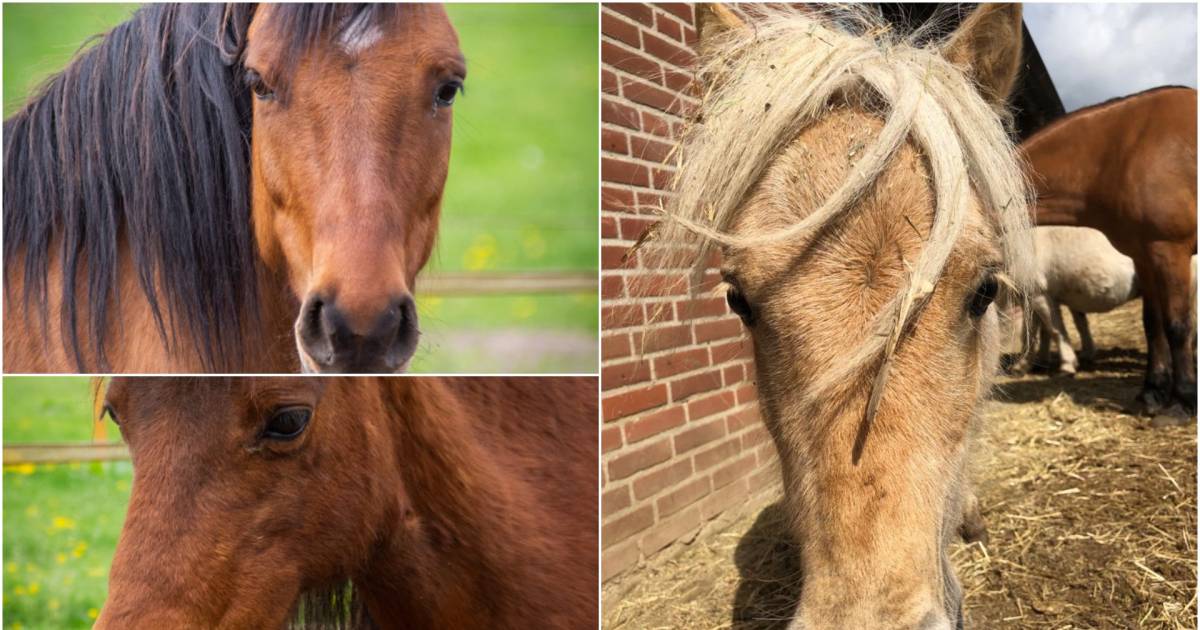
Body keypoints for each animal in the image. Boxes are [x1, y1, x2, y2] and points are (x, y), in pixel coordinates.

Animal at [1020, 86, 1198, 416]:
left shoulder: (1170, 250)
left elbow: (1178, 326)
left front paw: (1182, 401)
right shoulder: (1144, 256)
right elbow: (1152, 324)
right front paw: (1152, 392)